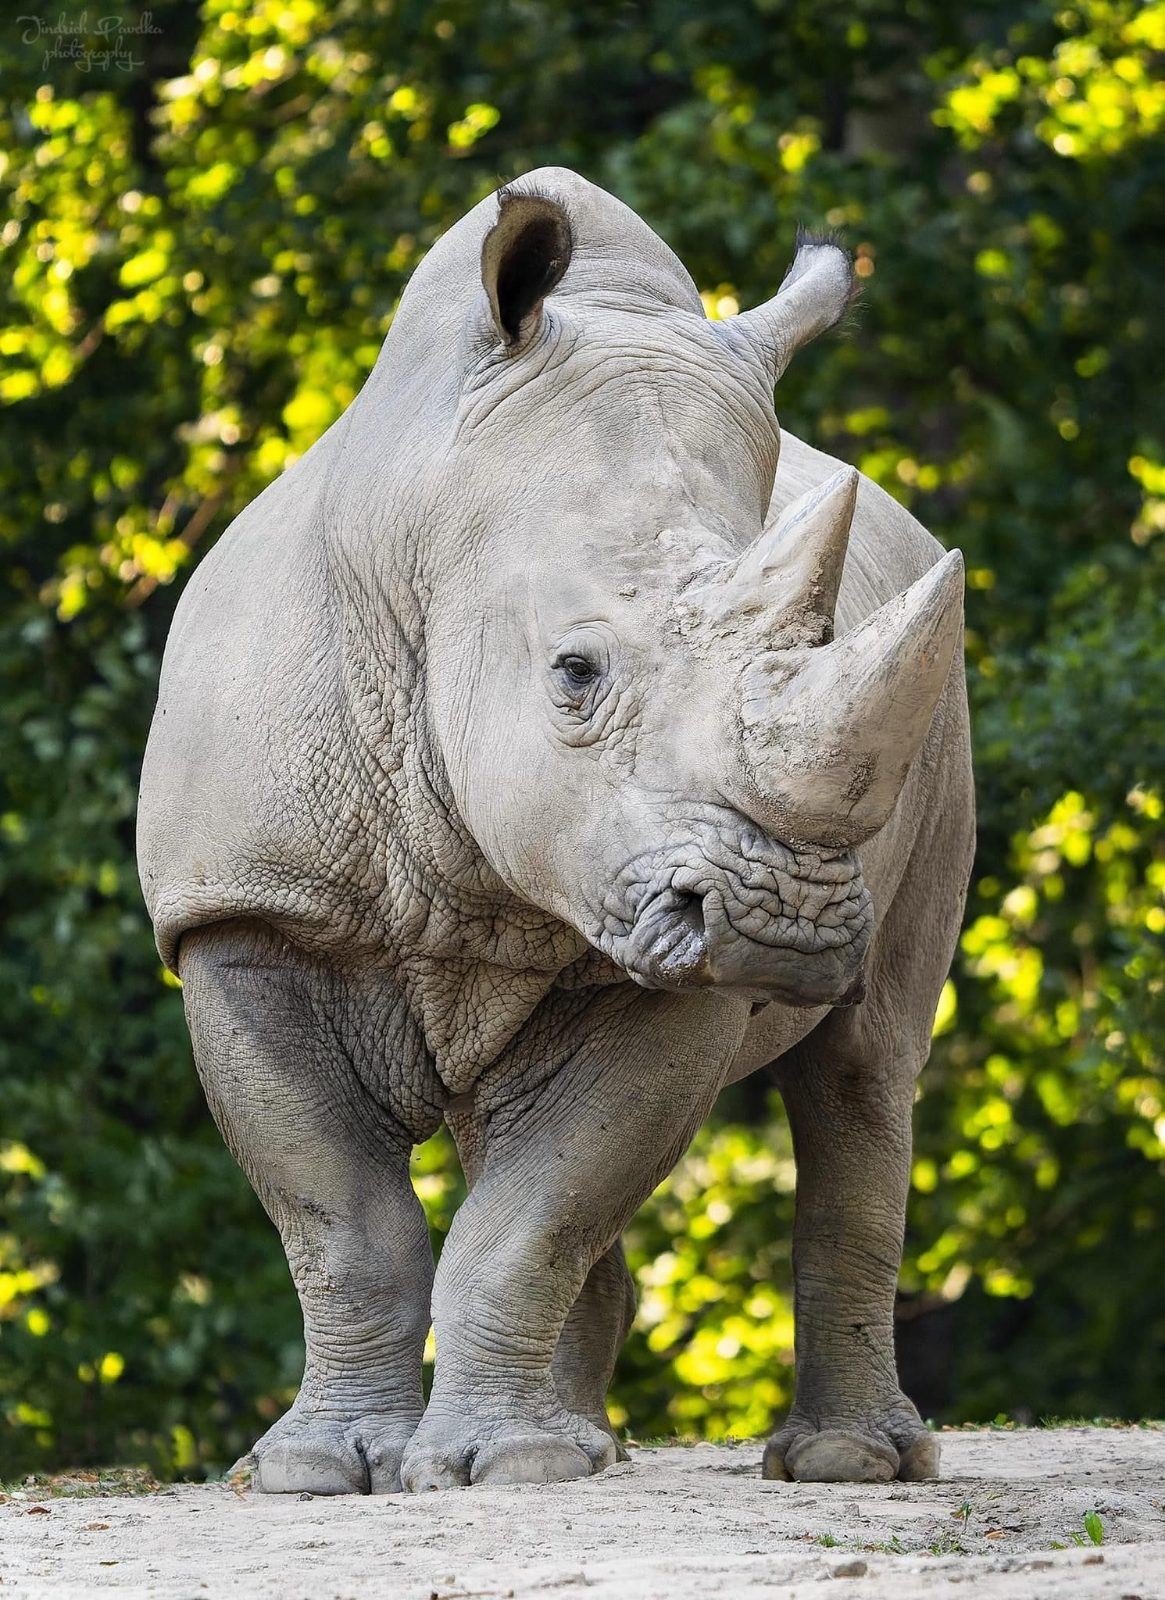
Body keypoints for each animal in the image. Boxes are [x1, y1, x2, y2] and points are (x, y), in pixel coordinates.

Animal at [137, 167, 974, 1495]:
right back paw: (593, 1444)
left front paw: (511, 1467)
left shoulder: (657, 939)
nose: (782, 926)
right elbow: (342, 1219)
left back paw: (836, 1460)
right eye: (574, 673)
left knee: (868, 1057)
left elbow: (537, 1212)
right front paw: (322, 1470)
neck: (425, 547)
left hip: (944, 731)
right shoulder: (250, 911)